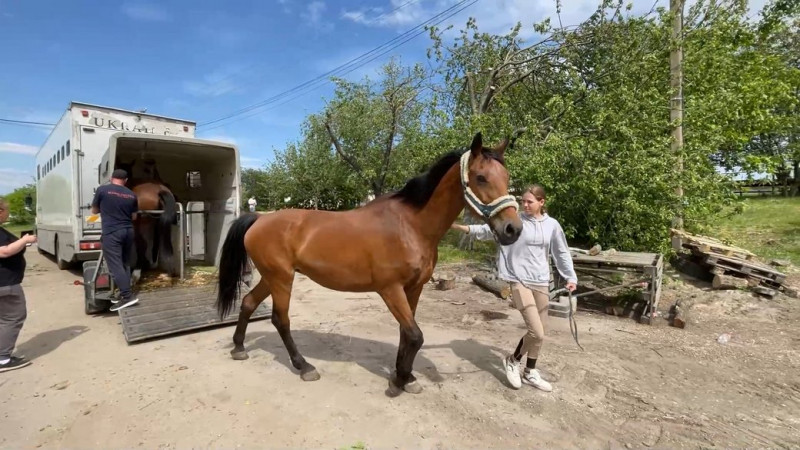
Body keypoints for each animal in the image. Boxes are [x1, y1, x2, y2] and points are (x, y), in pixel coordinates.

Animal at [214, 132, 524, 396]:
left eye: (506, 176)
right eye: (481, 177)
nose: (513, 229)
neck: (410, 226)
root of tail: (259, 219)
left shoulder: (414, 289)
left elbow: (406, 333)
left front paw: (405, 376)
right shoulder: (390, 289)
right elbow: (415, 335)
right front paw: (399, 380)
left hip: (273, 276)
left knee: (249, 303)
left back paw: (239, 348)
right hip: (281, 279)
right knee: (281, 319)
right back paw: (304, 366)